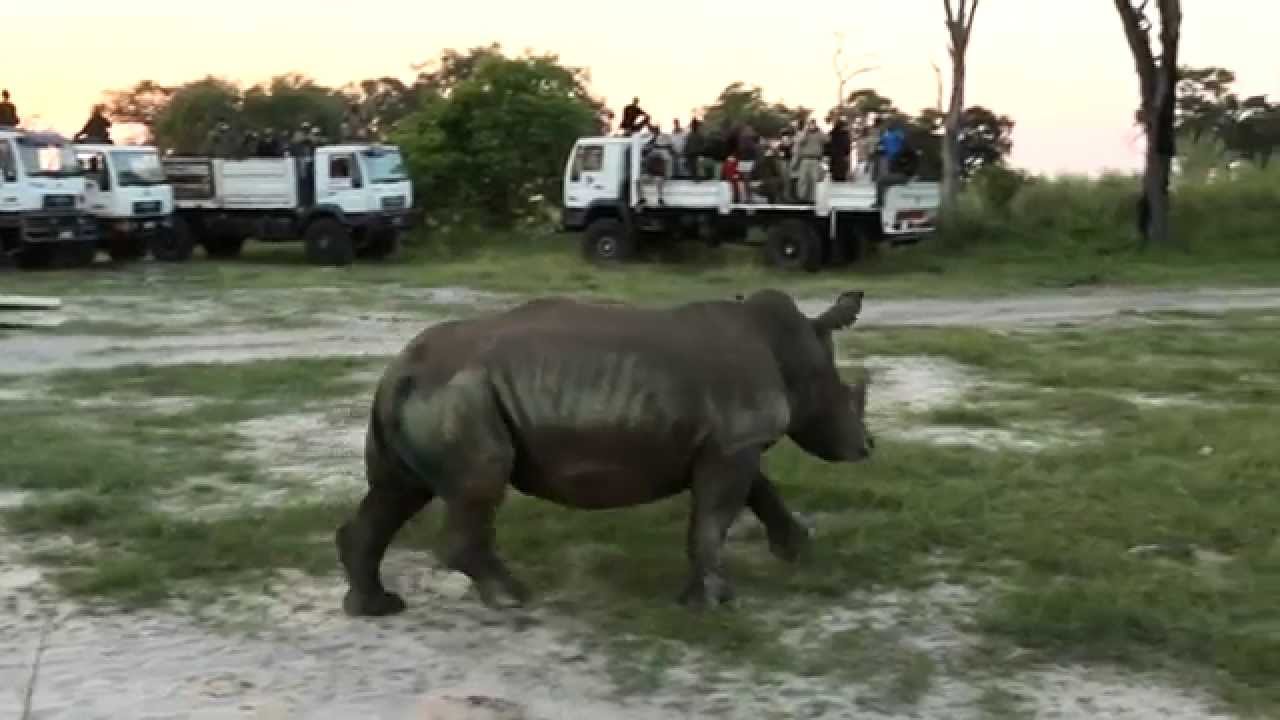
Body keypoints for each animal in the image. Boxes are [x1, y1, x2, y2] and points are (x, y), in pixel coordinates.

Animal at [336, 288, 873, 616]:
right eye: (845, 397)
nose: (867, 446)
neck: (794, 353)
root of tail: (397, 371)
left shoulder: (731, 443)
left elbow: (759, 493)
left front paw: (798, 551)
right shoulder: (733, 444)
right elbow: (713, 520)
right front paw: (713, 604)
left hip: (429, 393)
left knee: (397, 490)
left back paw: (376, 607)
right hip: (462, 393)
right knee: (476, 482)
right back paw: (512, 599)